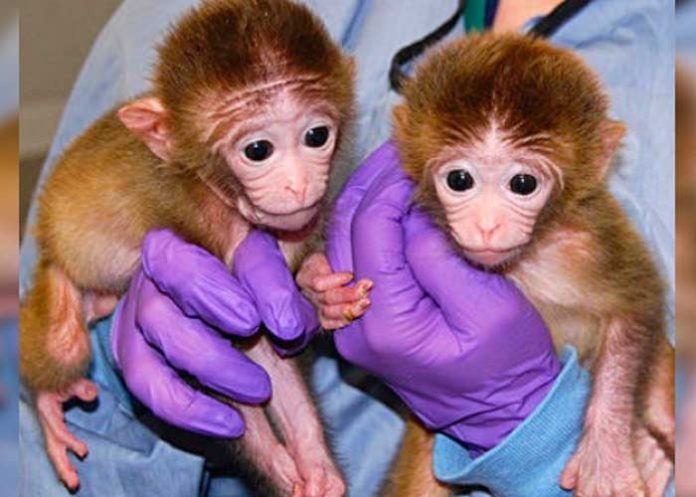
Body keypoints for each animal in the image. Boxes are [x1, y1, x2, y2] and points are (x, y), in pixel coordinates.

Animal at [19, 1, 354, 495]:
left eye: (316, 136)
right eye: (258, 150)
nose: (297, 184)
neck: (218, 193)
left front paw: (321, 290)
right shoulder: (204, 227)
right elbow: (241, 355)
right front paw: (278, 462)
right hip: (57, 271)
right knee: (63, 341)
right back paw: (47, 406)